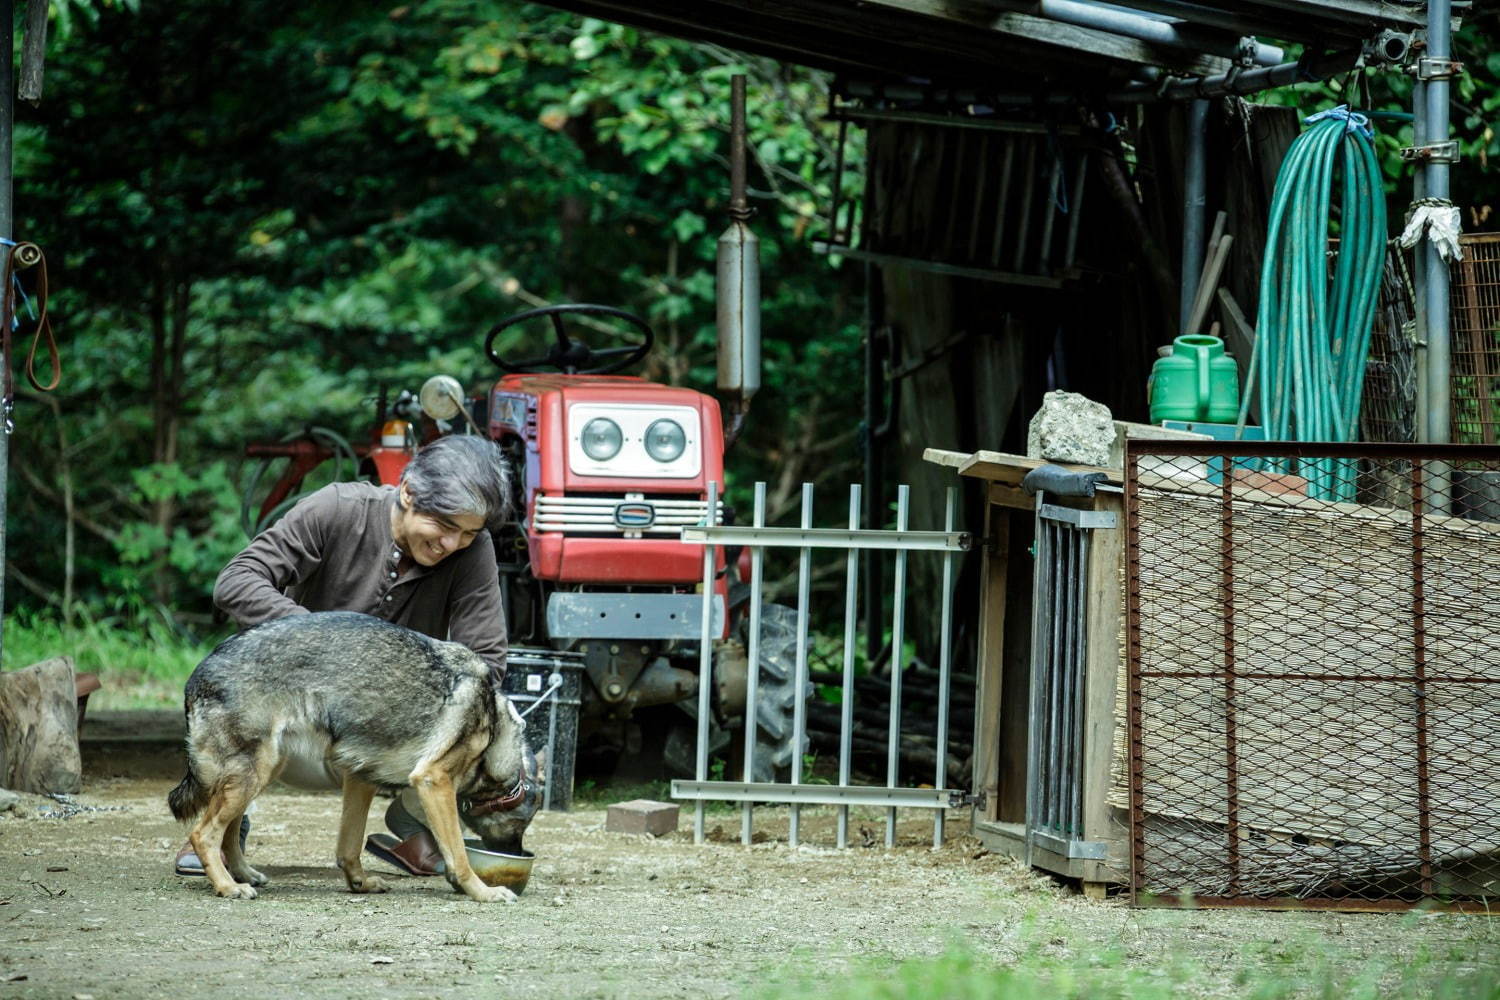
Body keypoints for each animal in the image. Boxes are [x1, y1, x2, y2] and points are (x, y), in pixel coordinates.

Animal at [169, 614, 531, 905]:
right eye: (522, 825)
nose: (519, 855)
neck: (494, 726)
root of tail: (196, 675)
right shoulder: (433, 781)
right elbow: (458, 854)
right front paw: (483, 891)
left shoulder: (360, 779)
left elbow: (349, 847)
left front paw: (360, 883)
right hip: (253, 773)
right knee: (204, 834)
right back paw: (228, 886)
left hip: (261, 772)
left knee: (229, 829)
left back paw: (243, 874)